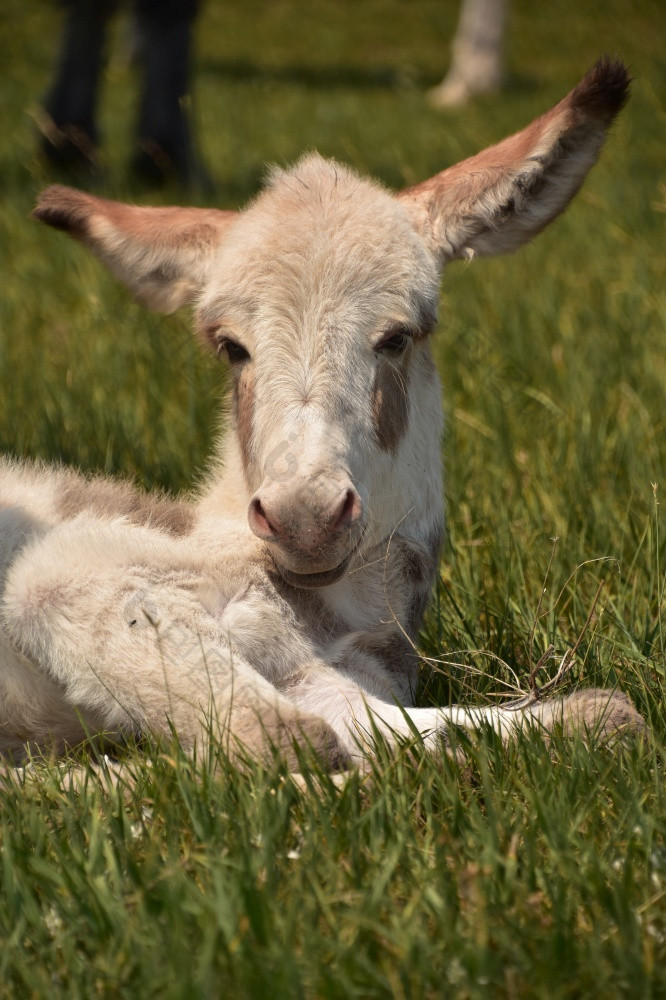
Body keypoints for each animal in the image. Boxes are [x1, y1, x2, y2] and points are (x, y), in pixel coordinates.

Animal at [1, 60, 644, 764]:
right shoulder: (65, 573)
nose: (304, 518)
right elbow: (289, 739)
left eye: (397, 337)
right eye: (231, 347)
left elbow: (598, 719)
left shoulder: (338, 673)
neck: (327, 613)